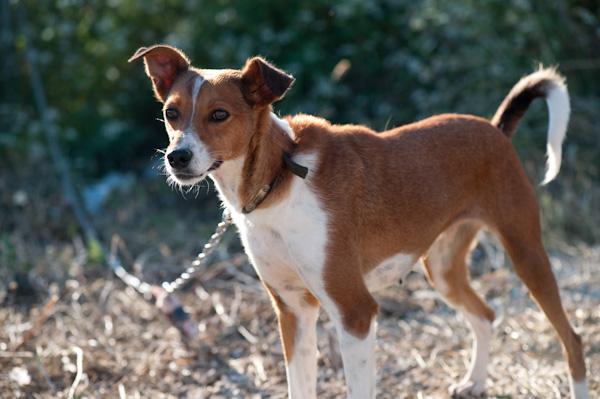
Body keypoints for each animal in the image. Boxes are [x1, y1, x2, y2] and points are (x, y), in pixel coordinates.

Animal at [130, 45, 584, 398]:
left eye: (219, 115)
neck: (280, 178)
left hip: (526, 253)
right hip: (442, 270)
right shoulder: (294, 312)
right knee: (486, 316)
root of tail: (495, 129)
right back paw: (474, 382)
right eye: (171, 113)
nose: (177, 157)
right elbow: (300, 387)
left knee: (572, 340)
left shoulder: (355, 312)